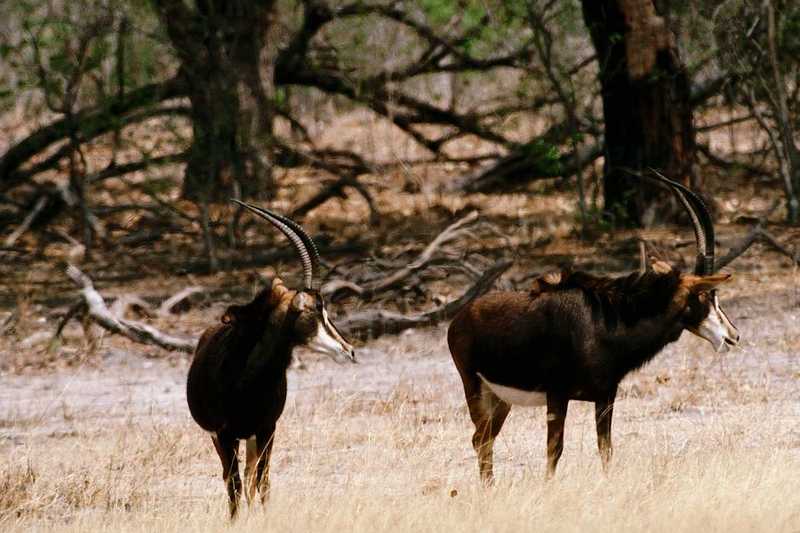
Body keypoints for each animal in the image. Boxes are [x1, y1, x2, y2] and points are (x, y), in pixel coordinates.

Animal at [187, 202, 354, 516]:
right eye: (315, 310)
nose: (348, 350)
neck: (247, 379)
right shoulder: (224, 434)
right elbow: (235, 486)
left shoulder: (267, 428)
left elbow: (262, 483)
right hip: (223, 438)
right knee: (233, 479)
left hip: (253, 437)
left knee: (252, 477)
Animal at [446, 172, 740, 484]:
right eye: (707, 295)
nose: (733, 336)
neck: (605, 323)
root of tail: (460, 318)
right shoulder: (557, 395)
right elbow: (554, 450)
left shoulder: (605, 396)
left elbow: (605, 449)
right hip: (474, 388)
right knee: (481, 439)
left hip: (500, 398)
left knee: (484, 438)